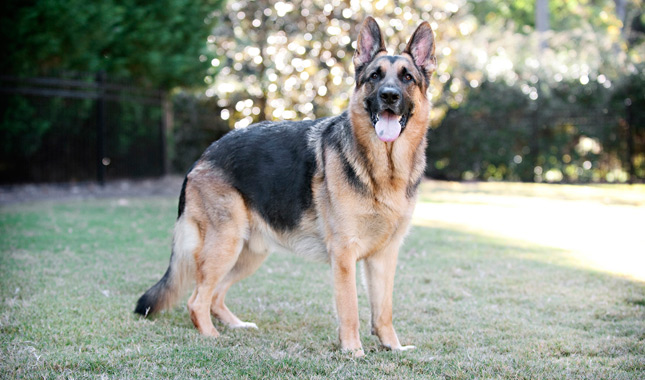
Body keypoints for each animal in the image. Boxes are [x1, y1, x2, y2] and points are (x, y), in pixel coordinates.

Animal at [138, 17, 436, 356]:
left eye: (407, 77)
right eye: (375, 76)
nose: (388, 96)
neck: (383, 170)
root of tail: (203, 155)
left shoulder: (384, 257)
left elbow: (383, 311)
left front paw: (392, 347)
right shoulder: (344, 256)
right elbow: (350, 310)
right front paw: (353, 352)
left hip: (247, 253)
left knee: (214, 295)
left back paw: (236, 326)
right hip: (226, 245)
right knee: (196, 300)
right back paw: (212, 337)